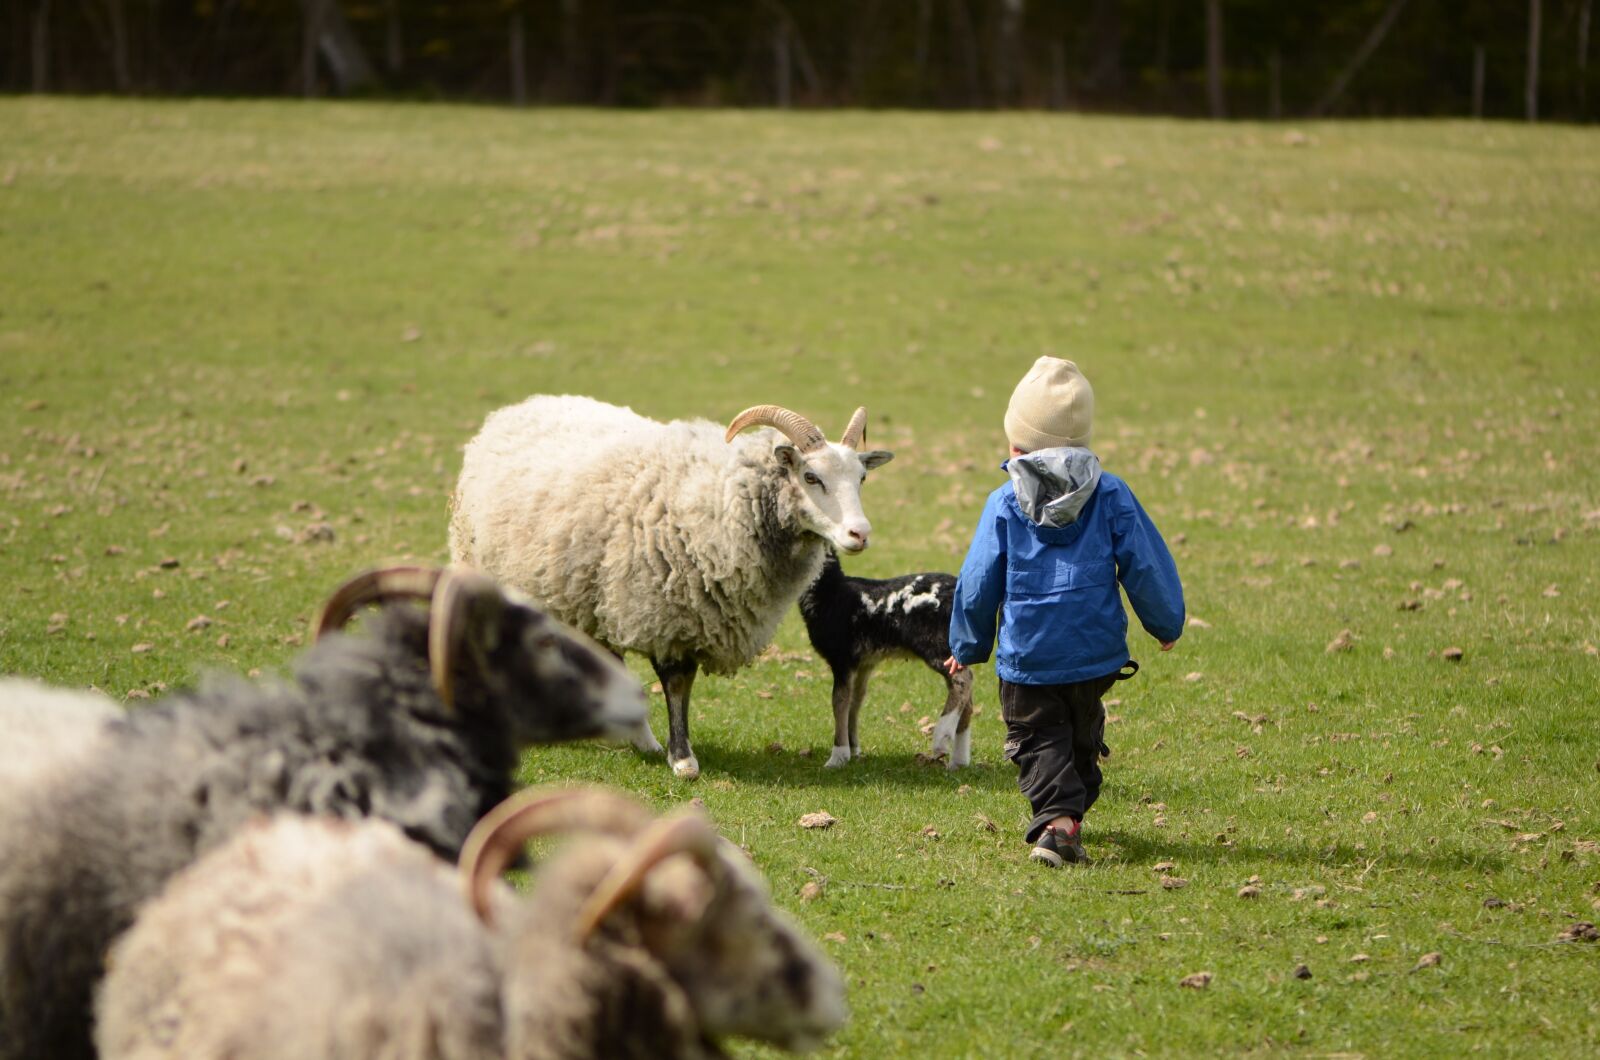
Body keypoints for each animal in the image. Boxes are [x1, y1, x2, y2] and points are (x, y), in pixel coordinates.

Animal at [450, 395, 894, 780]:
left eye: (862, 478)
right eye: (811, 477)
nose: (860, 534)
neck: (722, 499)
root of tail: (518, 408)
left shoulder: (691, 614)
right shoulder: (667, 612)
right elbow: (677, 684)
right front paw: (683, 759)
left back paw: (635, 737)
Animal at [797, 549, 974, 770]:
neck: (830, 592)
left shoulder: (842, 657)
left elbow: (839, 702)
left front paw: (837, 757)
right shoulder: (864, 662)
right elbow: (855, 701)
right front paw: (853, 749)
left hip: (937, 644)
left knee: (963, 679)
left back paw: (942, 737)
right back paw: (959, 761)